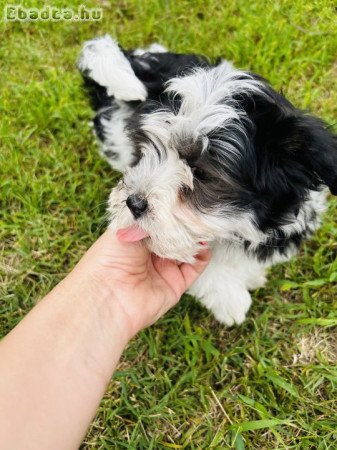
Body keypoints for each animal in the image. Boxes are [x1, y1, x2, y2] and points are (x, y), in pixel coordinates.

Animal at [77, 34, 336, 324]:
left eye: (202, 173)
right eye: (146, 150)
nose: (134, 203)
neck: (240, 225)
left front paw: (249, 276)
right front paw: (229, 299)